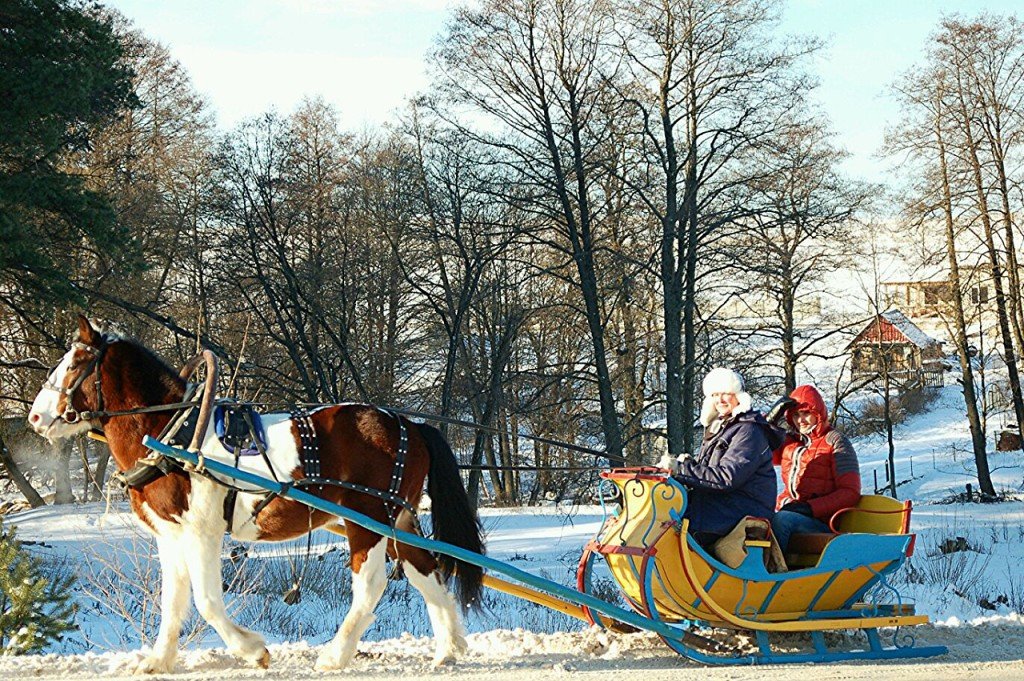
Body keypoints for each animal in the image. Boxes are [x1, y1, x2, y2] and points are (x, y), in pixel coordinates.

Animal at [27, 315, 483, 671]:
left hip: (367, 519)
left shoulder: (202, 531)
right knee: (425, 569)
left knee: (371, 584)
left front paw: (252, 650)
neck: (172, 433)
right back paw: (449, 647)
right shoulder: (170, 534)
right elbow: (173, 600)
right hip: (398, 519)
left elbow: (207, 600)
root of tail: (409, 425)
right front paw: (159, 660)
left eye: (73, 365)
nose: (35, 417)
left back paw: (336, 654)